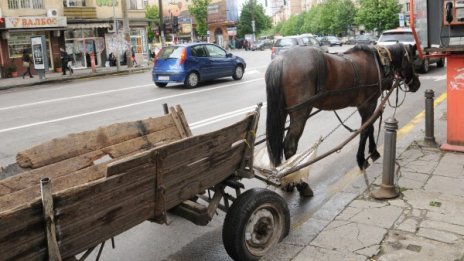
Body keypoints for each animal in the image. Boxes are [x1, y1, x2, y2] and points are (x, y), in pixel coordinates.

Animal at [264, 43, 420, 193]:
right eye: (414, 59)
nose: (417, 85)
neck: (379, 62)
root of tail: (281, 59)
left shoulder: (368, 104)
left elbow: (370, 127)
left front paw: (373, 152)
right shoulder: (368, 104)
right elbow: (365, 129)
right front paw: (362, 159)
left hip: (284, 111)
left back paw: (286, 181)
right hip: (301, 112)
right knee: (290, 145)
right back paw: (300, 184)